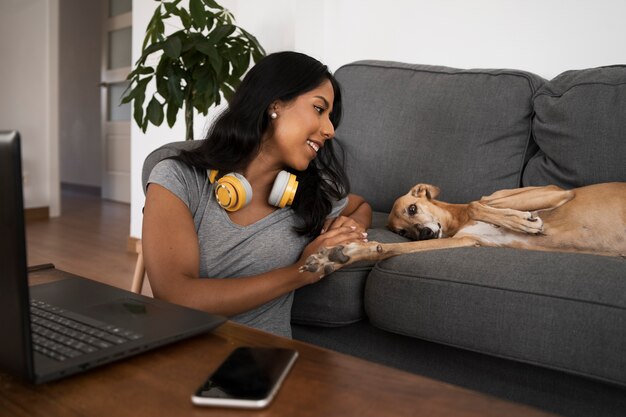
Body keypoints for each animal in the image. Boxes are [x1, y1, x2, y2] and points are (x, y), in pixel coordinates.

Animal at [298, 182, 624, 276]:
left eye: (412, 209)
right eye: (403, 232)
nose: (425, 233)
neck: (456, 221)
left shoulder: (556, 191)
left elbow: (477, 203)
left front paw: (524, 220)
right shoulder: (468, 241)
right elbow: (386, 249)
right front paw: (337, 255)